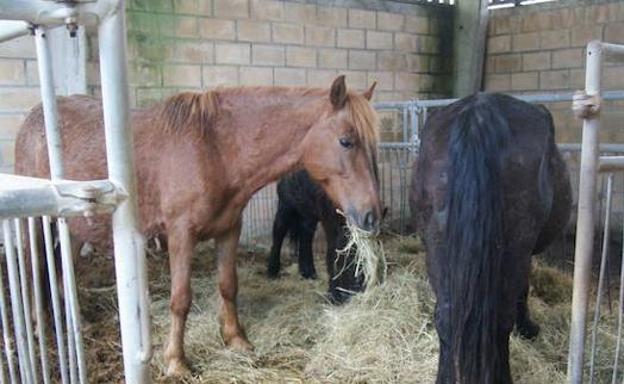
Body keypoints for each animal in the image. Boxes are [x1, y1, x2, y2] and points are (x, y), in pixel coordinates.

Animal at [14, 76, 382, 376]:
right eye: (346, 141)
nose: (373, 215)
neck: (214, 150)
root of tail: (32, 118)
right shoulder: (181, 235)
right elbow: (181, 299)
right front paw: (177, 361)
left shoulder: (229, 229)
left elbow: (228, 285)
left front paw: (236, 339)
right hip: (36, 222)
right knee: (33, 268)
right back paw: (35, 325)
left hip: (76, 225)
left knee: (65, 271)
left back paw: (79, 323)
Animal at [410, 94, 572, 384]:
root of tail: (477, 116)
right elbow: (523, 288)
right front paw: (527, 329)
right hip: (515, 246)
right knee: (500, 320)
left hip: (437, 245)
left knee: (447, 316)